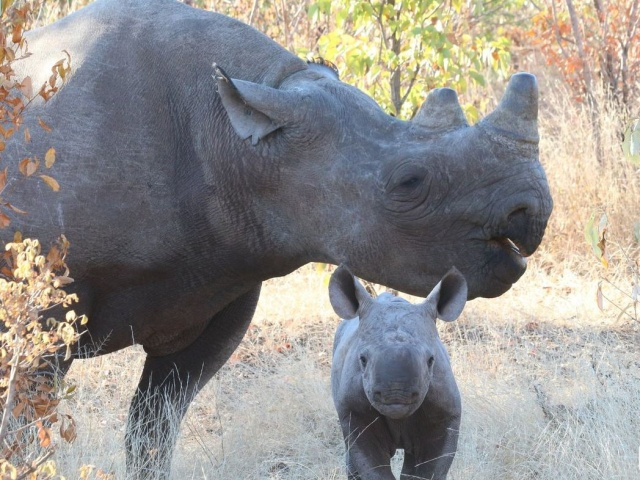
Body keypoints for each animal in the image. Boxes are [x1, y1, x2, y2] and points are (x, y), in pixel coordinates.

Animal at [329, 266, 467, 480]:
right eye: (362, 359)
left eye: (431, 360)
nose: (396, 396)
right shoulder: (354, 412)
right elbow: (373, 466)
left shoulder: (445, 413)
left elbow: (428, 469)